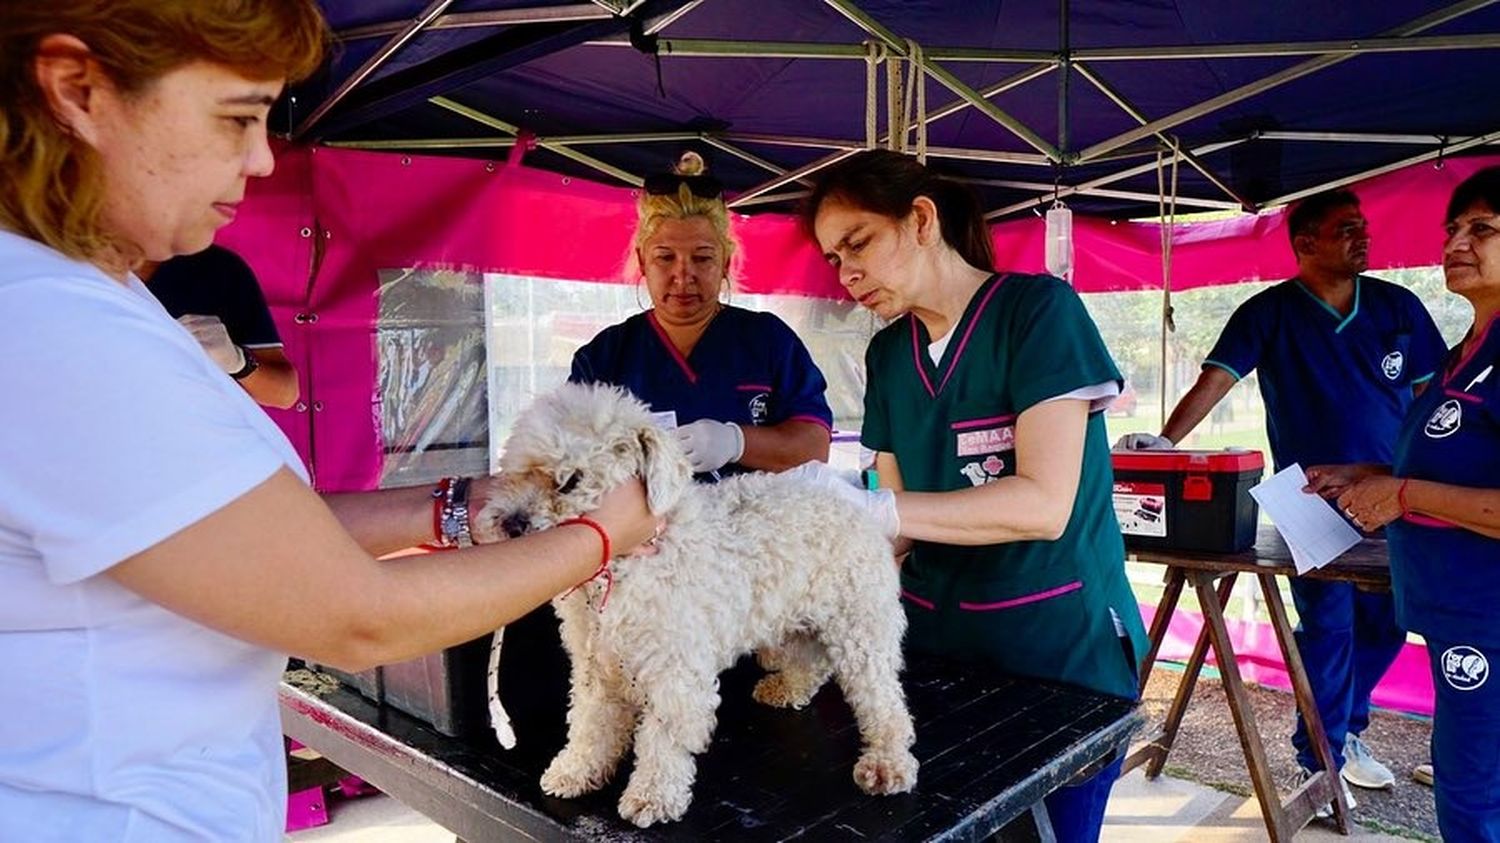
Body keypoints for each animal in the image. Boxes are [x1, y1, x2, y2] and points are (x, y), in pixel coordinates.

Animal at [474, 382, 912, 828]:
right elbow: (589, 723)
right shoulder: (595, 665)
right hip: (795, 618)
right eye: (514, 471)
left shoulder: (674, 671)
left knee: (885, 702)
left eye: (570, 480)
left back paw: (888, 763)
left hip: (861, 630)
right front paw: (575, 769)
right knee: (812, 661)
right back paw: (785, 688)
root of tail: (860, 508)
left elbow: (663, 739)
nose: (508, 524)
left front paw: (652, 796)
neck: (620, 570)